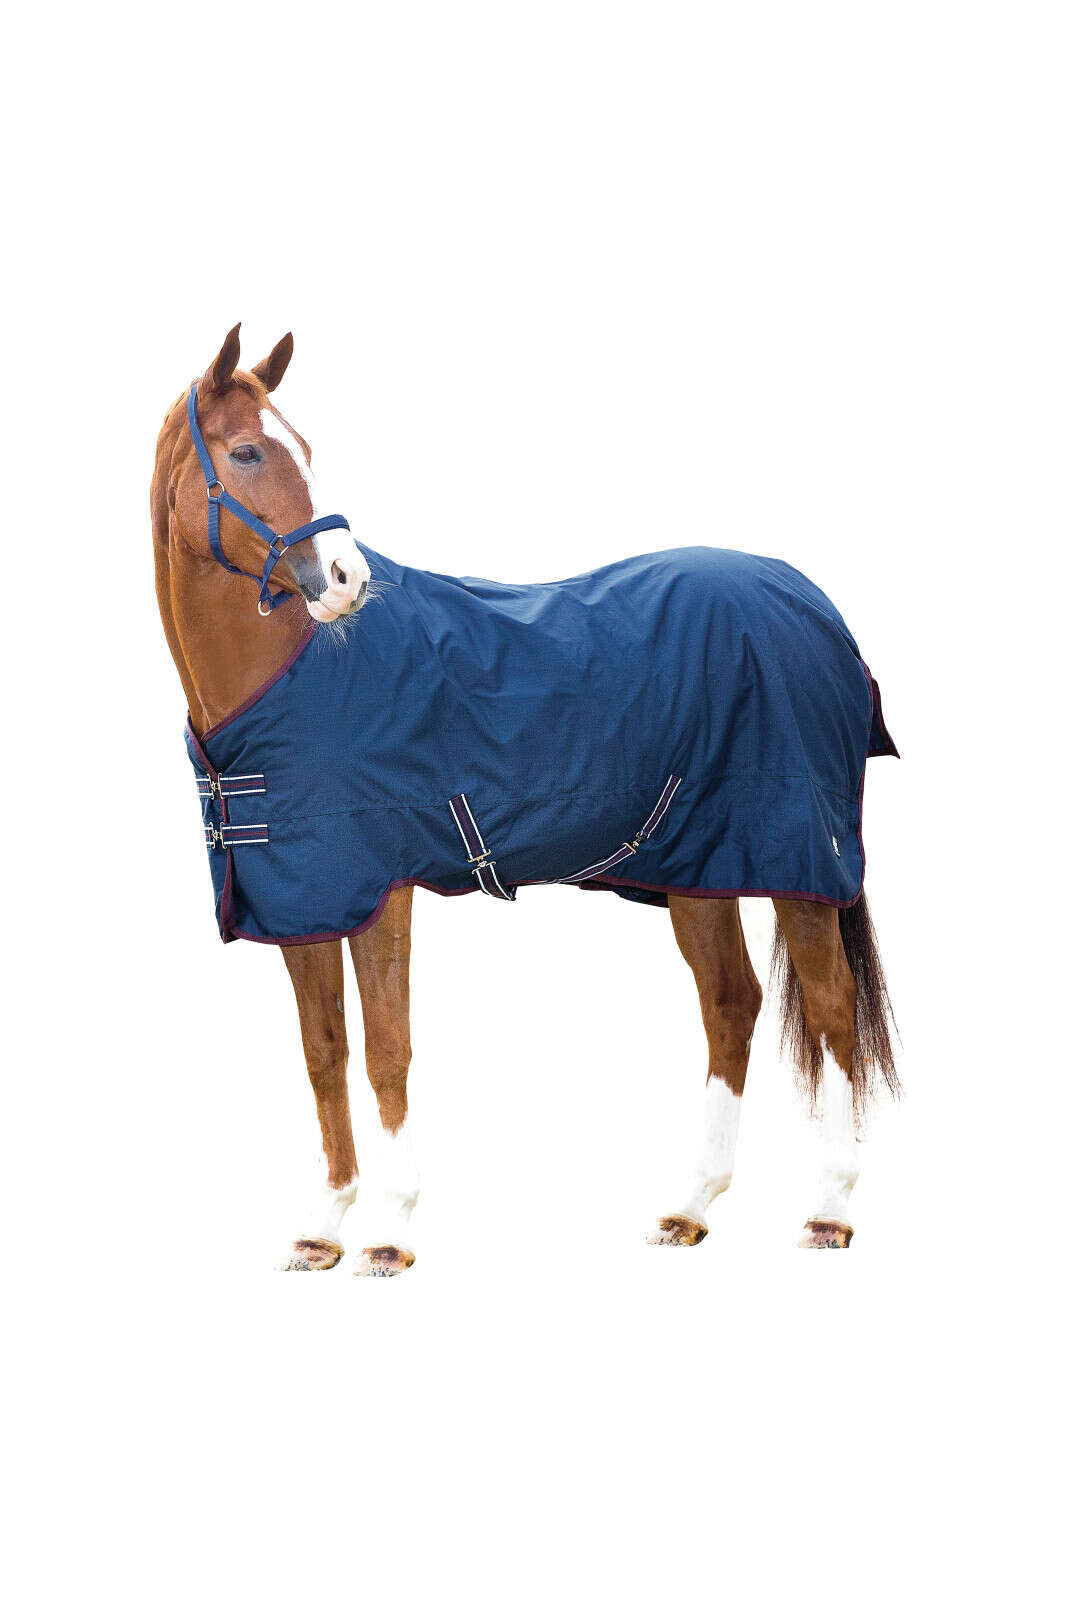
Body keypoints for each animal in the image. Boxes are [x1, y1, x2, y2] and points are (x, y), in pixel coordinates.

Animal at [152, 325, 898, 1273]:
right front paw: (322, 1228)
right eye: (247, 451)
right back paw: (688, 1208)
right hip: (699, 866)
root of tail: (814, 605)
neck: (296, 677)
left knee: (832, 1009)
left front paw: (390, 1231)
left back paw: (828, 1210)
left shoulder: (380, 892)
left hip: (799, 863)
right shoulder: (304, 901)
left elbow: (387, 1049)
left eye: (305, 449)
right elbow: (325, 1052)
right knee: (730, 1003)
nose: (346, 579)